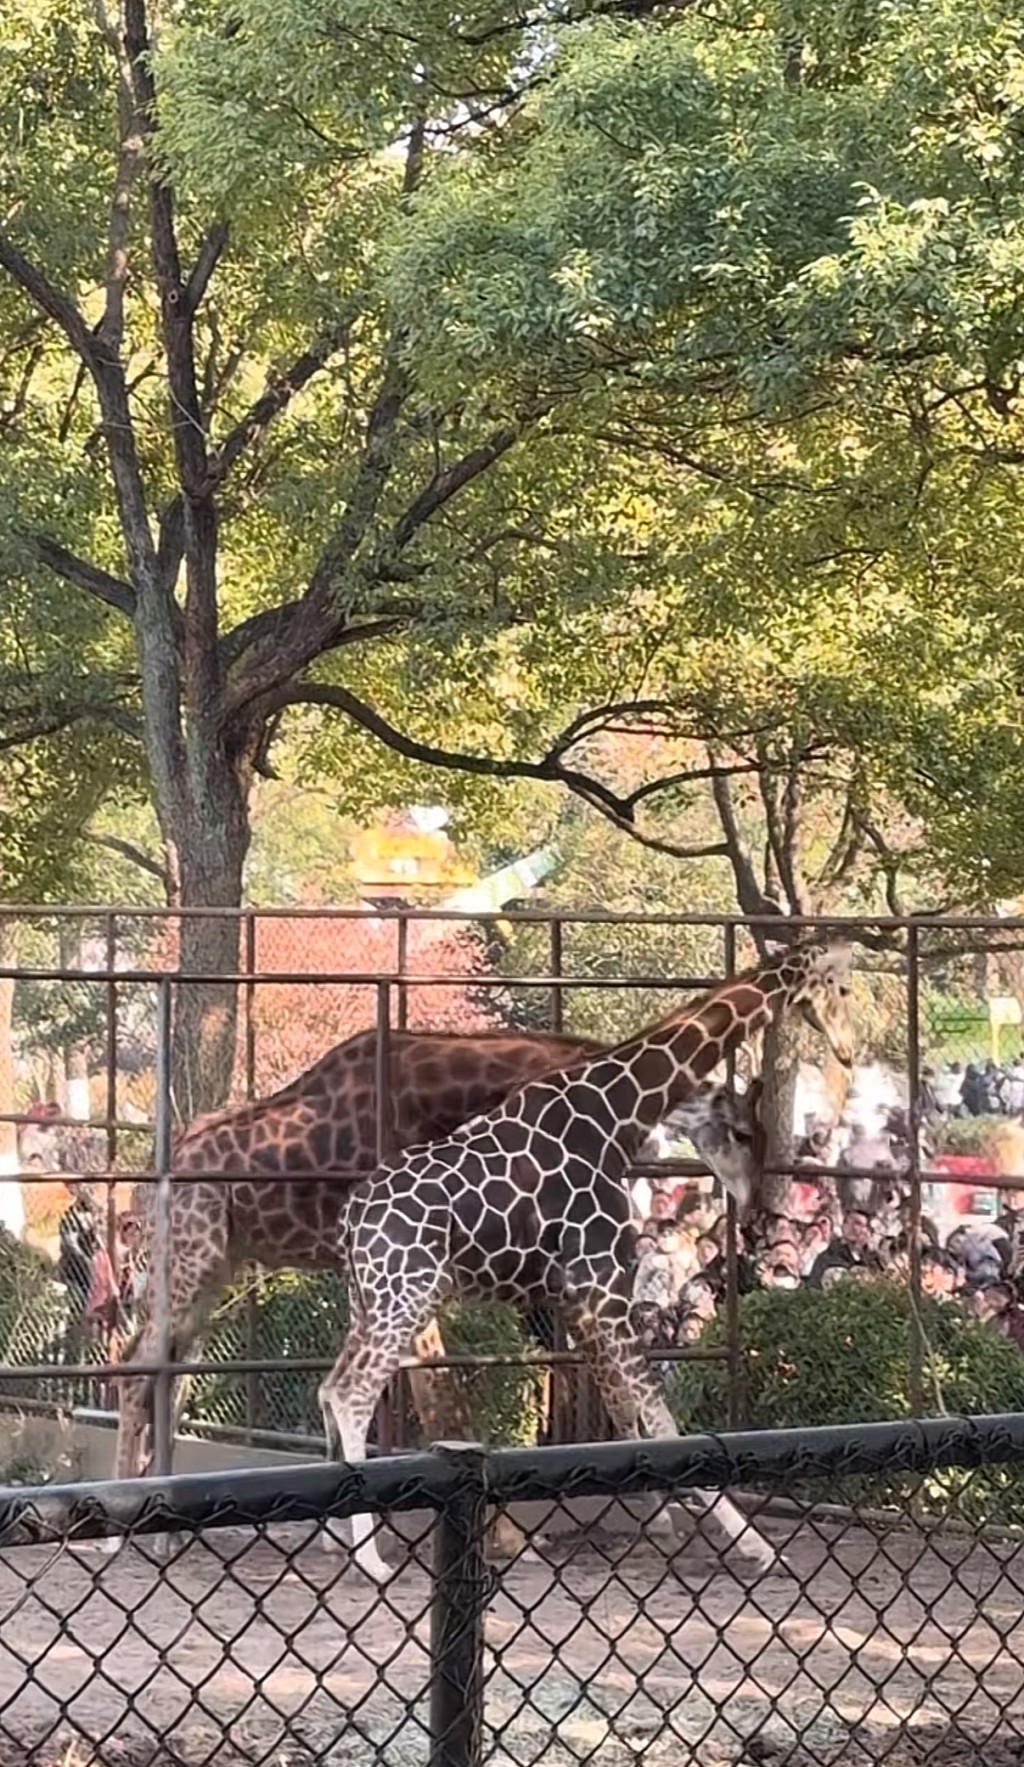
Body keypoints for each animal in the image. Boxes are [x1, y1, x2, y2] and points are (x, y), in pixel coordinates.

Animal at [319, 947, 854, 1583]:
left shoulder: (579, 1293)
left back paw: (337, 1534)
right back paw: (369, 1558)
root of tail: (352, 1221)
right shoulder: (603, 1282)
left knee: (328, 1390)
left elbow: (623, 1406)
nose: (848, 1049)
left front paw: (659, 1516)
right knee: (350, 1394)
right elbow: (656, 1412)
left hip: (370, 1299)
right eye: (842, 987)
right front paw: (751, 1544)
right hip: (403, 1295)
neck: (616, 1110)